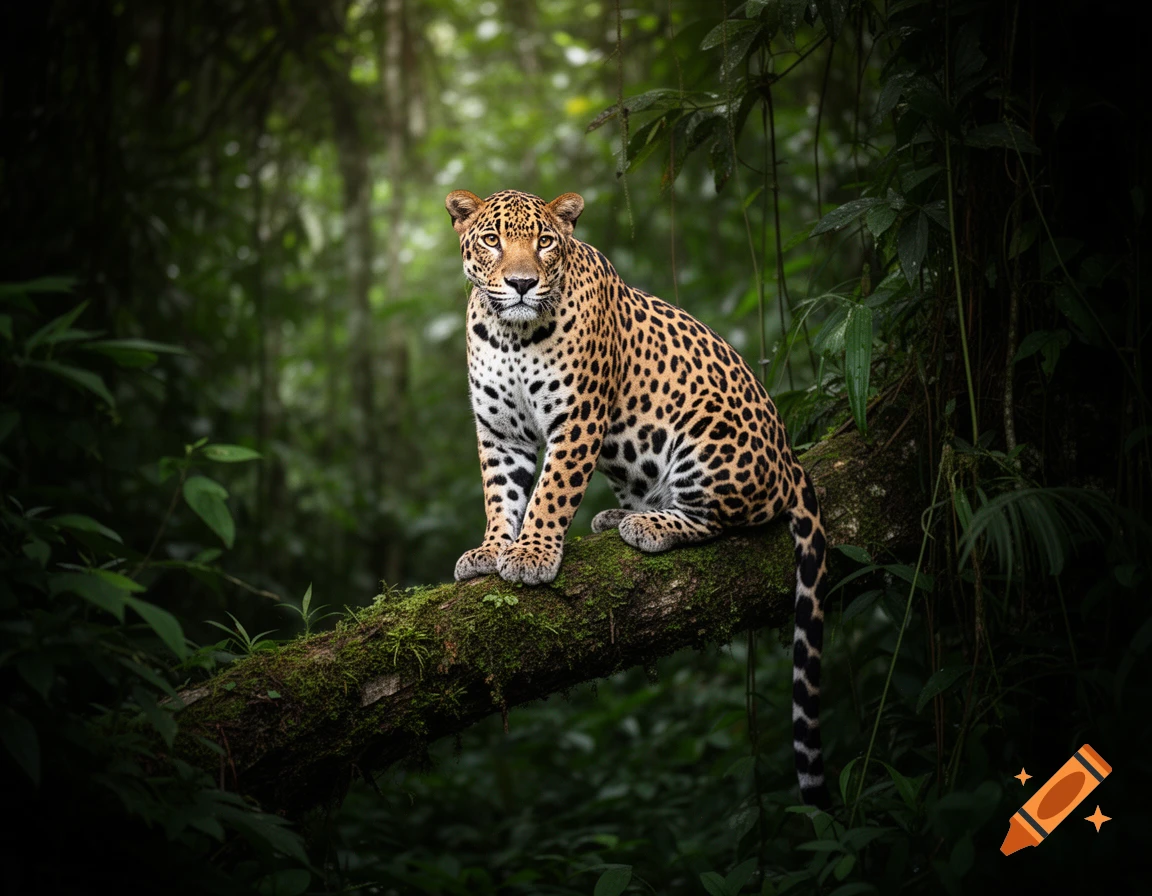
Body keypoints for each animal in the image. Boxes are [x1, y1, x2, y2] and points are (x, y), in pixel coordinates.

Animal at [446, 188, 830, 807]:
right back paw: (617, 515)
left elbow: (551, 493)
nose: (523, 283)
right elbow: (499, 495)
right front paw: (491, 549)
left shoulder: (578, 419)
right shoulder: (499, 432)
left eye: (545, 242)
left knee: (726, 519)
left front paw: (531, 556)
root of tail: (790, 455)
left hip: (706, 438)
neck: (511, 334)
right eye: (492, 241)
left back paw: (650, 525)